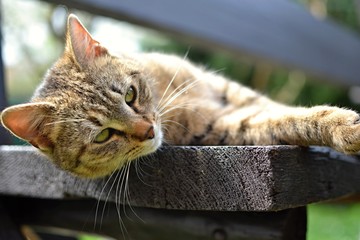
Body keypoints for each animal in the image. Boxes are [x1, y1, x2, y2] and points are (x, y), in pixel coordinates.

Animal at [2, 13, 360, 178]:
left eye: (130, 94)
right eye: (103, 135)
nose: (149, 130)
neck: (166, 96)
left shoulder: (227, 89)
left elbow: (276, 106)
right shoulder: (227, 125)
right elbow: (290, 119)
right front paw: (345, 127)